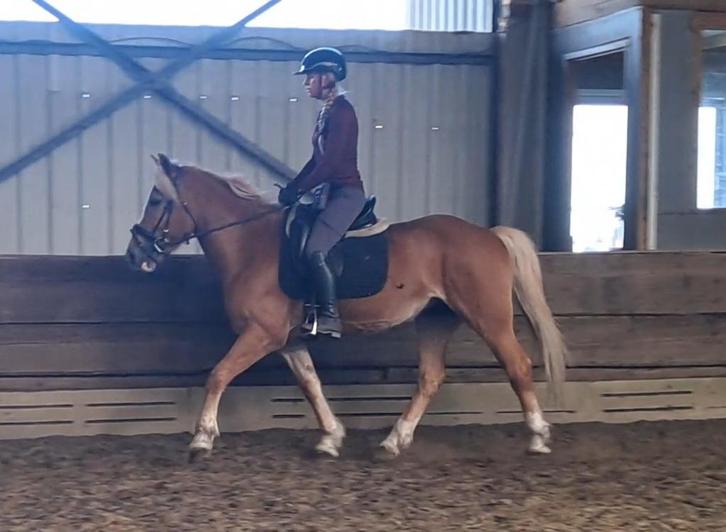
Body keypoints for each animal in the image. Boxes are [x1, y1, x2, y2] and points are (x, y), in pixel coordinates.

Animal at [125, 153, 568, 461]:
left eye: (156, 199)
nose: (135, 255)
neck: (251, 245)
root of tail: (489, 235)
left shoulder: (261, 334)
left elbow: (218, 374)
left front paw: (201, 440)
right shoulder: (287, 340)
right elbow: (311, 384)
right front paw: (330, 438)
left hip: (488, 317)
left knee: (517, 366)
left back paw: (538, 438)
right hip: (434, 320)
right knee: (430, 378)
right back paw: (392, 442)